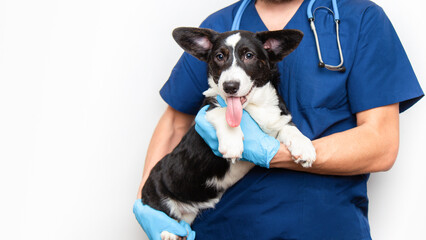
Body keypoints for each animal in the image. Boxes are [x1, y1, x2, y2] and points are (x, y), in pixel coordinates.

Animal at [143, 27, 316, 240]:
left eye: (249, 55)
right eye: (219, 56)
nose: (230, 86)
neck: (254, 108)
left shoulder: (276, 122)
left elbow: (290, 128)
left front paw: (304, 148)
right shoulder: (207, 110)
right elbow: (221, 111)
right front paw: (233, 144)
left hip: (188, 216)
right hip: (159, 195)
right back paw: (166, 230)